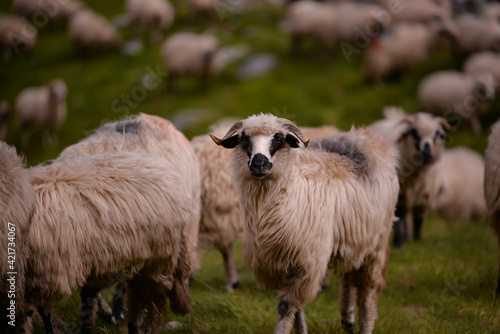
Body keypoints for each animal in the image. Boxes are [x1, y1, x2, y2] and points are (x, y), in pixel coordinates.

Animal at [210, 114, 398, 334]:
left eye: (278, 138)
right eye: (244, 139)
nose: (258, 164)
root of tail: (364, 136)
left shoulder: (305, 263)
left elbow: (286, 306)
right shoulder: (280, 261)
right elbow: (296, 308)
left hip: (377, 243)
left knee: (368, 292)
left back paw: (365, 324)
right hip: (352, 240)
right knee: (348, 276)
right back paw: (348, 318)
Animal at [368, 108, 454, 247]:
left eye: (437, 134)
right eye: (414, 132)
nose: (427, 153)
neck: (419, 173)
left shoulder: (427, 195)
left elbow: (419, 218)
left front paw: (418, 239)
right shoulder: (400, 193)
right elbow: (399, 215)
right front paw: (398, 241)